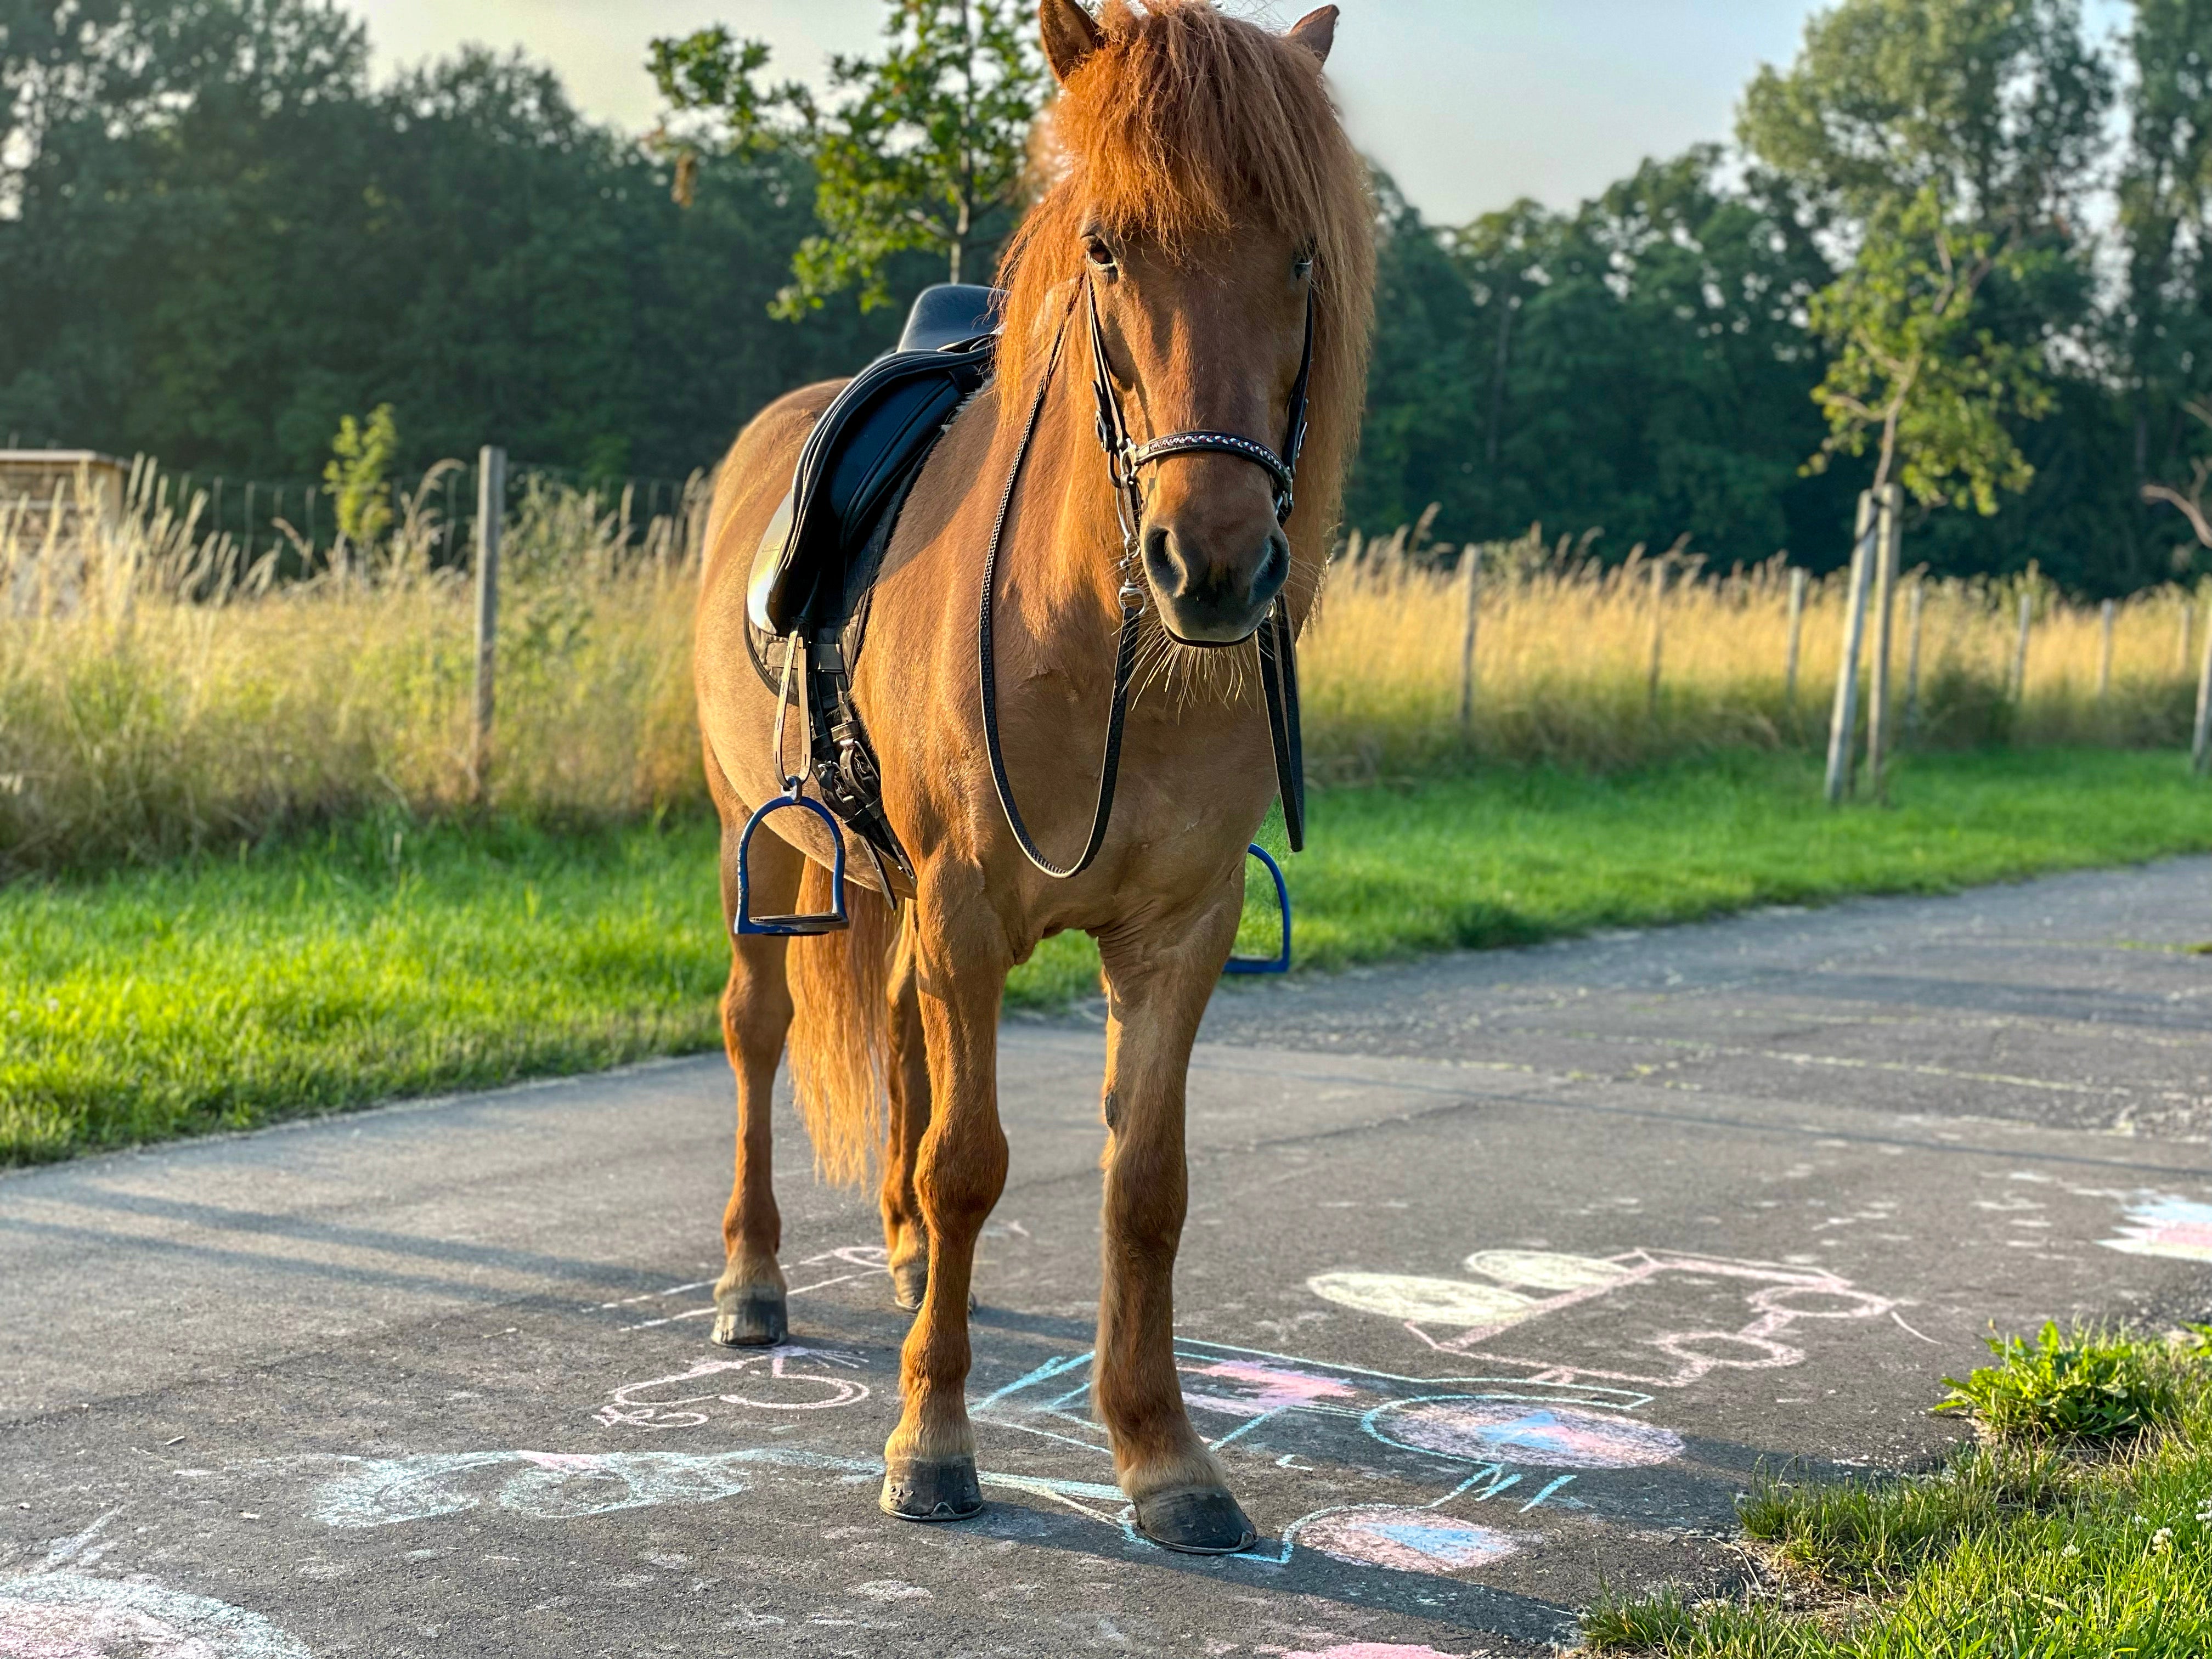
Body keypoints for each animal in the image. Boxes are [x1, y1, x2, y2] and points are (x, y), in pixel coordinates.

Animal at [690, 0, 1371, 1557]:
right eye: (1109, 246)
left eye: (1301, 253)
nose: (1214, 565)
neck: (1100, 639)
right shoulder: (968, 910)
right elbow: (972, 1164)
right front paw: (932, 1445)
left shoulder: (1178, 931)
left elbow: (1146, 1187)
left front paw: (1164, 1456)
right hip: (761, 841)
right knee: (759, 1030)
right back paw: (754, 1281)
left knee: (895, 1026)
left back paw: (894, 1256)